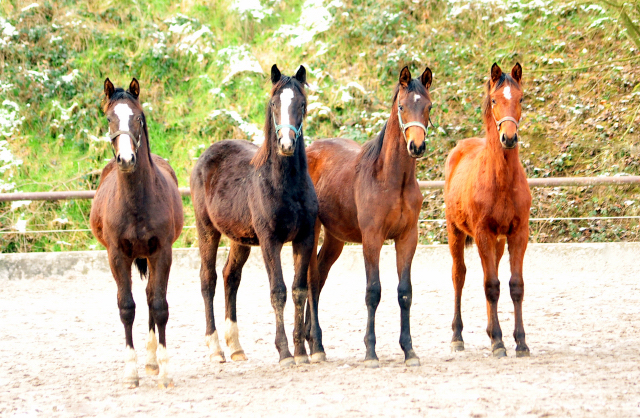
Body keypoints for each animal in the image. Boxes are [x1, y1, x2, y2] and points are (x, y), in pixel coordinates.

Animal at [89, 76, 182, 386]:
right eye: (109, 118)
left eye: (138, 117)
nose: (127, 159)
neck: (136, 202)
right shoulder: (117, 256)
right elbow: (126, 307)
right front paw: (131, 371)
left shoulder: (162, 253)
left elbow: (159, 306)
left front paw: (165, 370)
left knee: (152, 296)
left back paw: (152, 361)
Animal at [190, 63, 320, 368]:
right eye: (274, 104)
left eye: (302, 104)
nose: (286, 144)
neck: (285, 185)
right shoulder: (270, 241)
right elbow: (278, 291)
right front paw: (284, 353)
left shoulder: (305, 238)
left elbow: (298, 290)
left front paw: (301, 351)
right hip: (207, 230)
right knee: (208, 279)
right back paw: (216, 348)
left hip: (240, 239)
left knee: (230, 277)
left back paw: (236, 347)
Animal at [304, 64, 436, 366]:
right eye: (401, 106)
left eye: (428, 107)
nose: (416, 146)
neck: (391, 178)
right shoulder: (372, 239)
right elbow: (373, 291)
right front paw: (370, 351)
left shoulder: (407, 238)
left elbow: (405, 292)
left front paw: (409, 351)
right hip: (313, 231)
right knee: (312, 279)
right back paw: (315, 345)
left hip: (335, 239)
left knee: (319, 278)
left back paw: (310, 340)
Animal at [444, 63, 528, 358]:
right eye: (494, 100)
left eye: (521, 98)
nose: (509, 137)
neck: (501, 180)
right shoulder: (482, 233)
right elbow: (491, 287)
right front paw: (499, 343)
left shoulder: (518, 234)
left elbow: (515, 285)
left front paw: (521, 342)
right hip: (456, 232)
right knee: (459, 276)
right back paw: (457, 337)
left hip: (497, 242)